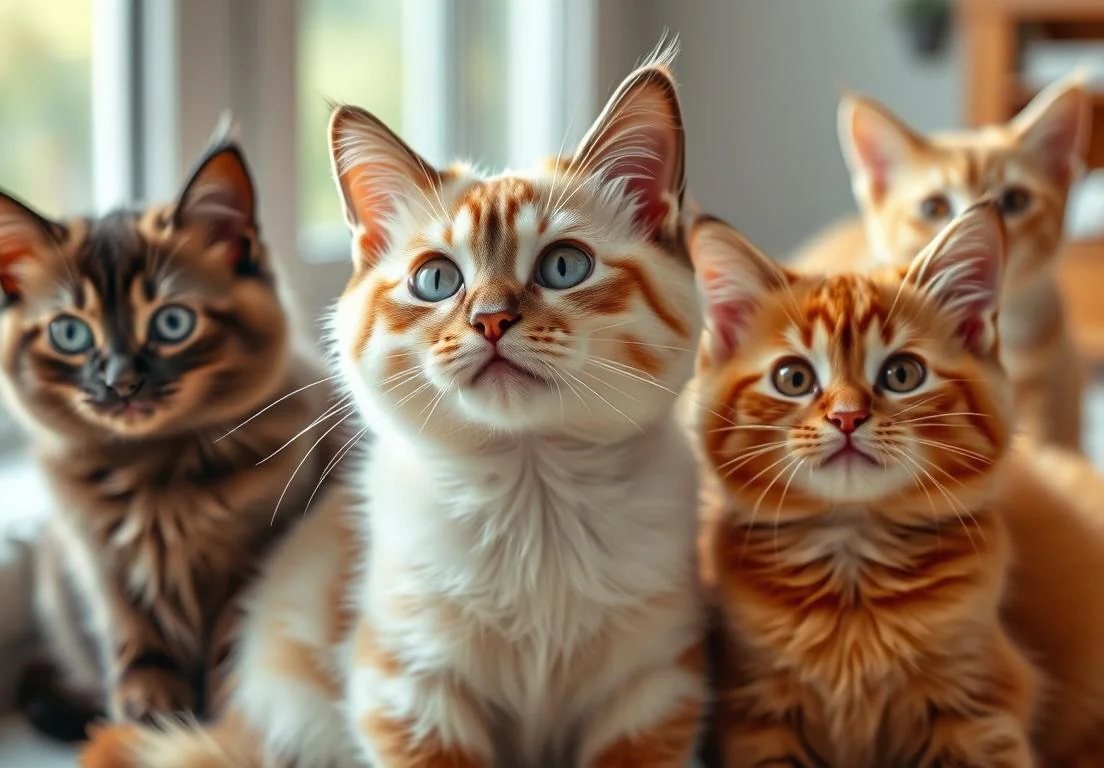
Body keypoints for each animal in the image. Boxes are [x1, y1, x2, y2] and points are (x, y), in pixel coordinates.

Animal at [0, 136, 337, 737]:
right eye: (70, 333)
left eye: (172, 324)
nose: (121, 383)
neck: (155, 476)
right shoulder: (110, 577)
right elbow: (144, 667)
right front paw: (149, 732)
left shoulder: (254, 563)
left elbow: (232, 660)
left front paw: (221, 735)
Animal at [83, 49, 706, 768]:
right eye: (436, 280)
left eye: (564, 267)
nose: (492, 320)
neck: (534, 494)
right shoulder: (406, 687)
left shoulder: (653, 687)